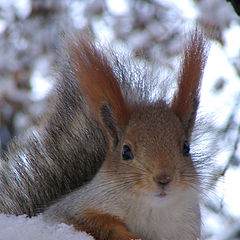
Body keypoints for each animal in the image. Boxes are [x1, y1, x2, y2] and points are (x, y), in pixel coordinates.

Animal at [0, 27, 209, 238]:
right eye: (126, 151)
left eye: (186, 148)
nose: (164, 179)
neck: (153, 208)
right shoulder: (79, 209)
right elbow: (100, 224)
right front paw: (132, 236)